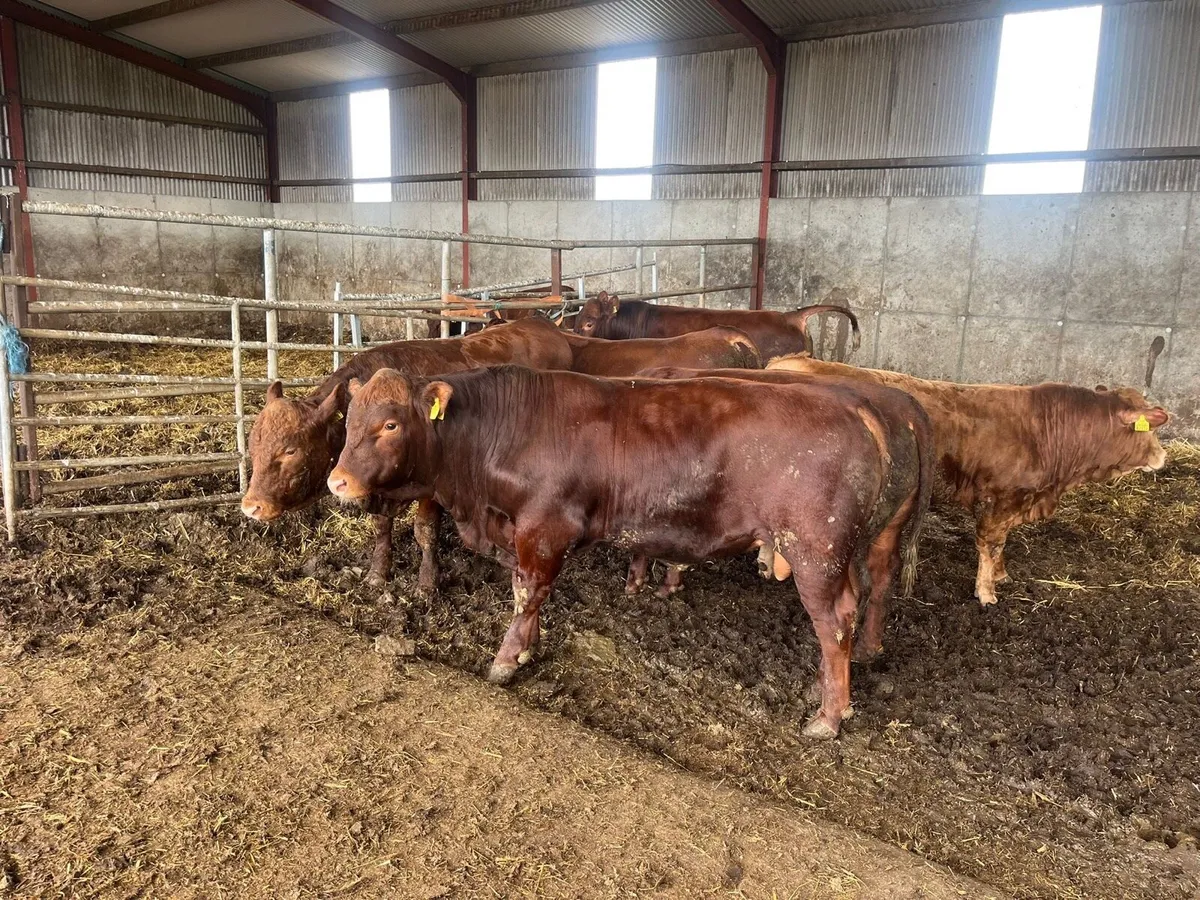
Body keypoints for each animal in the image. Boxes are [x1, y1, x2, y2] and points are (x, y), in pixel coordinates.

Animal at [240, 317, 574, 591]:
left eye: (290, 450)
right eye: (253, 443)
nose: (251, 506)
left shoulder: (433, 486)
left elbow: (424, 531)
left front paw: (427, 584)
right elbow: (381, 527)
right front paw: (377, 573)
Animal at [327, 365, 931, 739]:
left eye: (390, 423)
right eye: (348, 420)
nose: (336, 482)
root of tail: (857, 404)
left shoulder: (545, 527)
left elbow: (527, 592)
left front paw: (505, 660)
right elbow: (531, 594)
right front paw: (528, 649)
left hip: (815, 552)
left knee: (834, 624)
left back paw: (828, 717)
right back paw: (828, 691)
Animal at [765, 356, 1171, 606]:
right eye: (1149, 427)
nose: (1162, 456)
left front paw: (1002, 575)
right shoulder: (1000, 499)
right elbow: (990, 543)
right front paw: (987, 592)